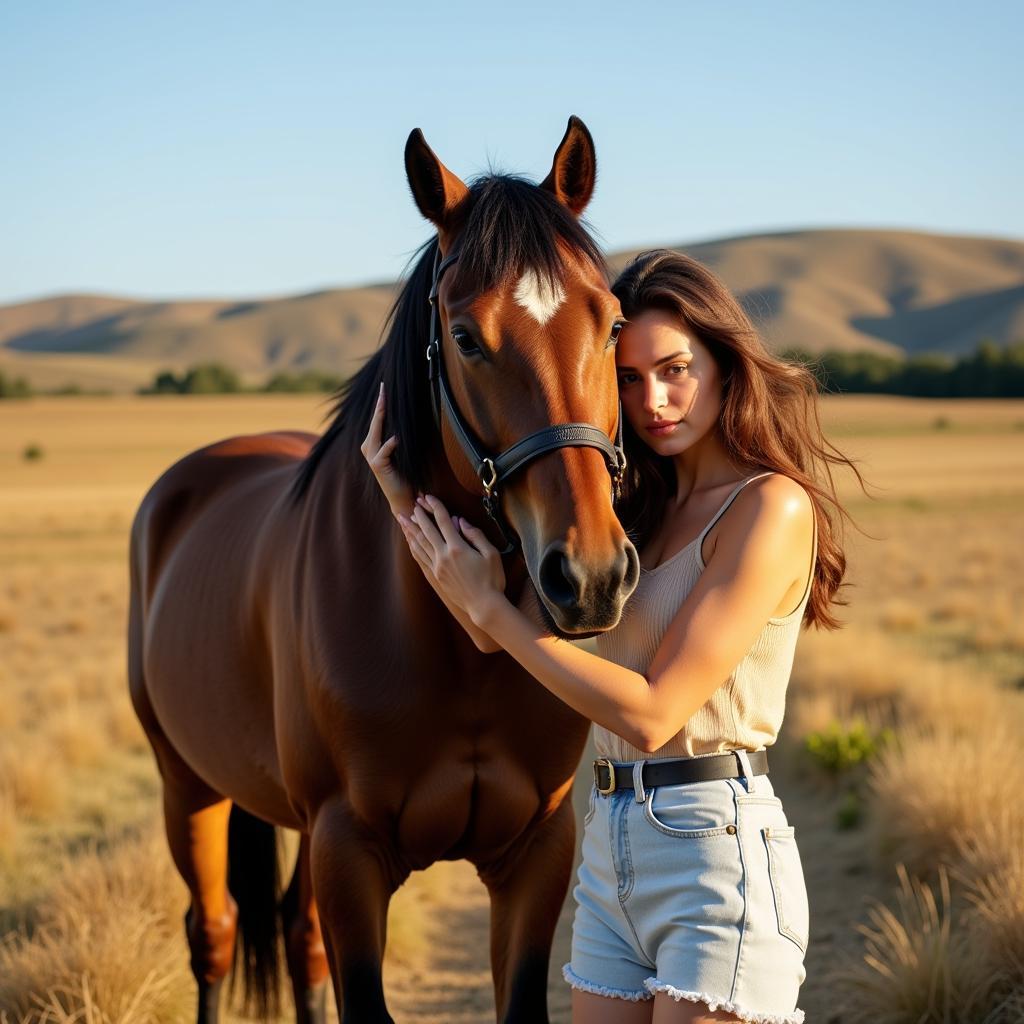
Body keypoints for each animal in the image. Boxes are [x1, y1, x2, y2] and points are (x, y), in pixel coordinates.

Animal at [128, 117, 638, 1024]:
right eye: (465, 338)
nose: (588, 575)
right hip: (186, 785)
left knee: (295, 939)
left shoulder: (537, 849)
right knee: (214, 933)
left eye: (612, 324)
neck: (456, 649)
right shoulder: (348, 851)